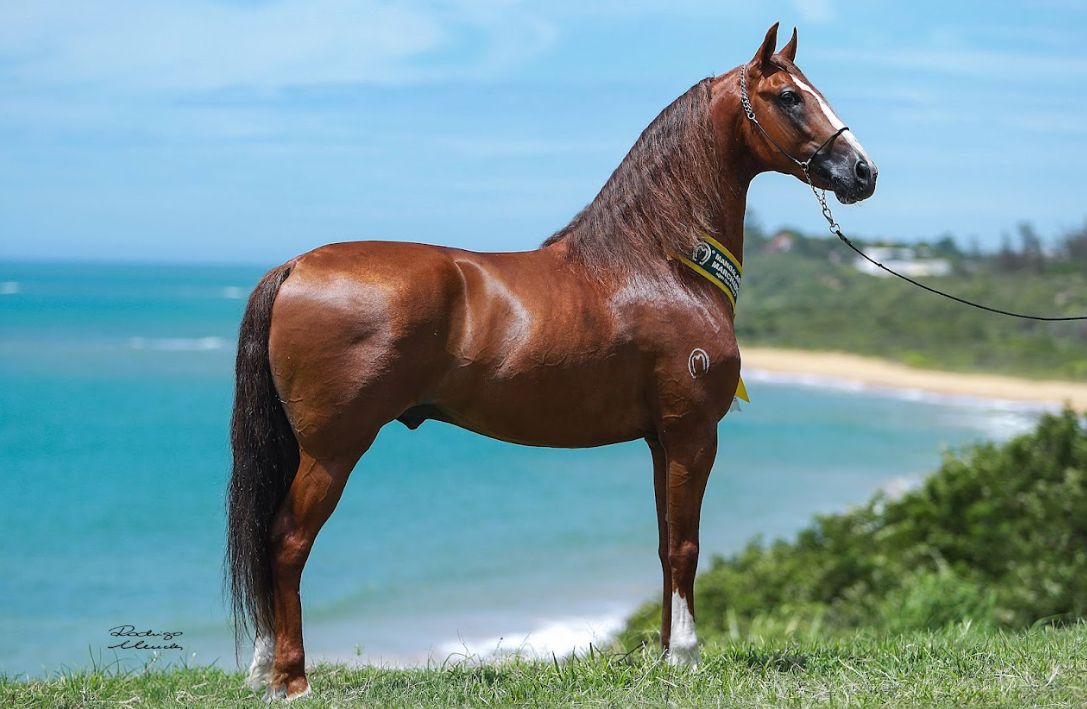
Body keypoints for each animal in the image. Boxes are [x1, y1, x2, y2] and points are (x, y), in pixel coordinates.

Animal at [227, 22, 877, 700]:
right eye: (788, 96)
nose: (863, 171)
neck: (662, 264)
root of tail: (295, 266)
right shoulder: (693, 433)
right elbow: (686, 546)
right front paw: (685, 657)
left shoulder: (661, 439)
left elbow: (664, 542)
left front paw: (664, 653)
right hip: (332, 450)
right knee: (287, 541)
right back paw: (291, 680)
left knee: (267, 538)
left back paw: (262, 672)